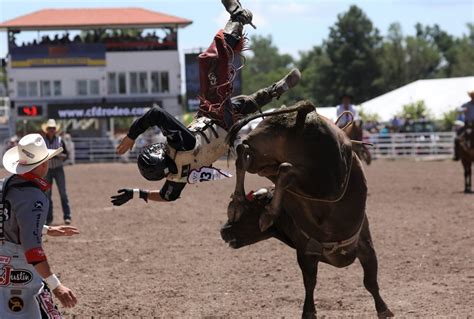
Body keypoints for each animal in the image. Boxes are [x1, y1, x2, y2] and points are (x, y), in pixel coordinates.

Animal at [222, 102, 392, 318]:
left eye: (249, 213)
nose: (224, 231)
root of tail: (302, 113)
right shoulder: (307, 253)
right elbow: (311, 282)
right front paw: (309, 312)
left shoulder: (365, 246)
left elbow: (369, 280)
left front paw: (383, 309)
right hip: (314, 179)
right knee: (277, 167)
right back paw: (257, 209)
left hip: (276, 164)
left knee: (255, 158)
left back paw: (247, 206)